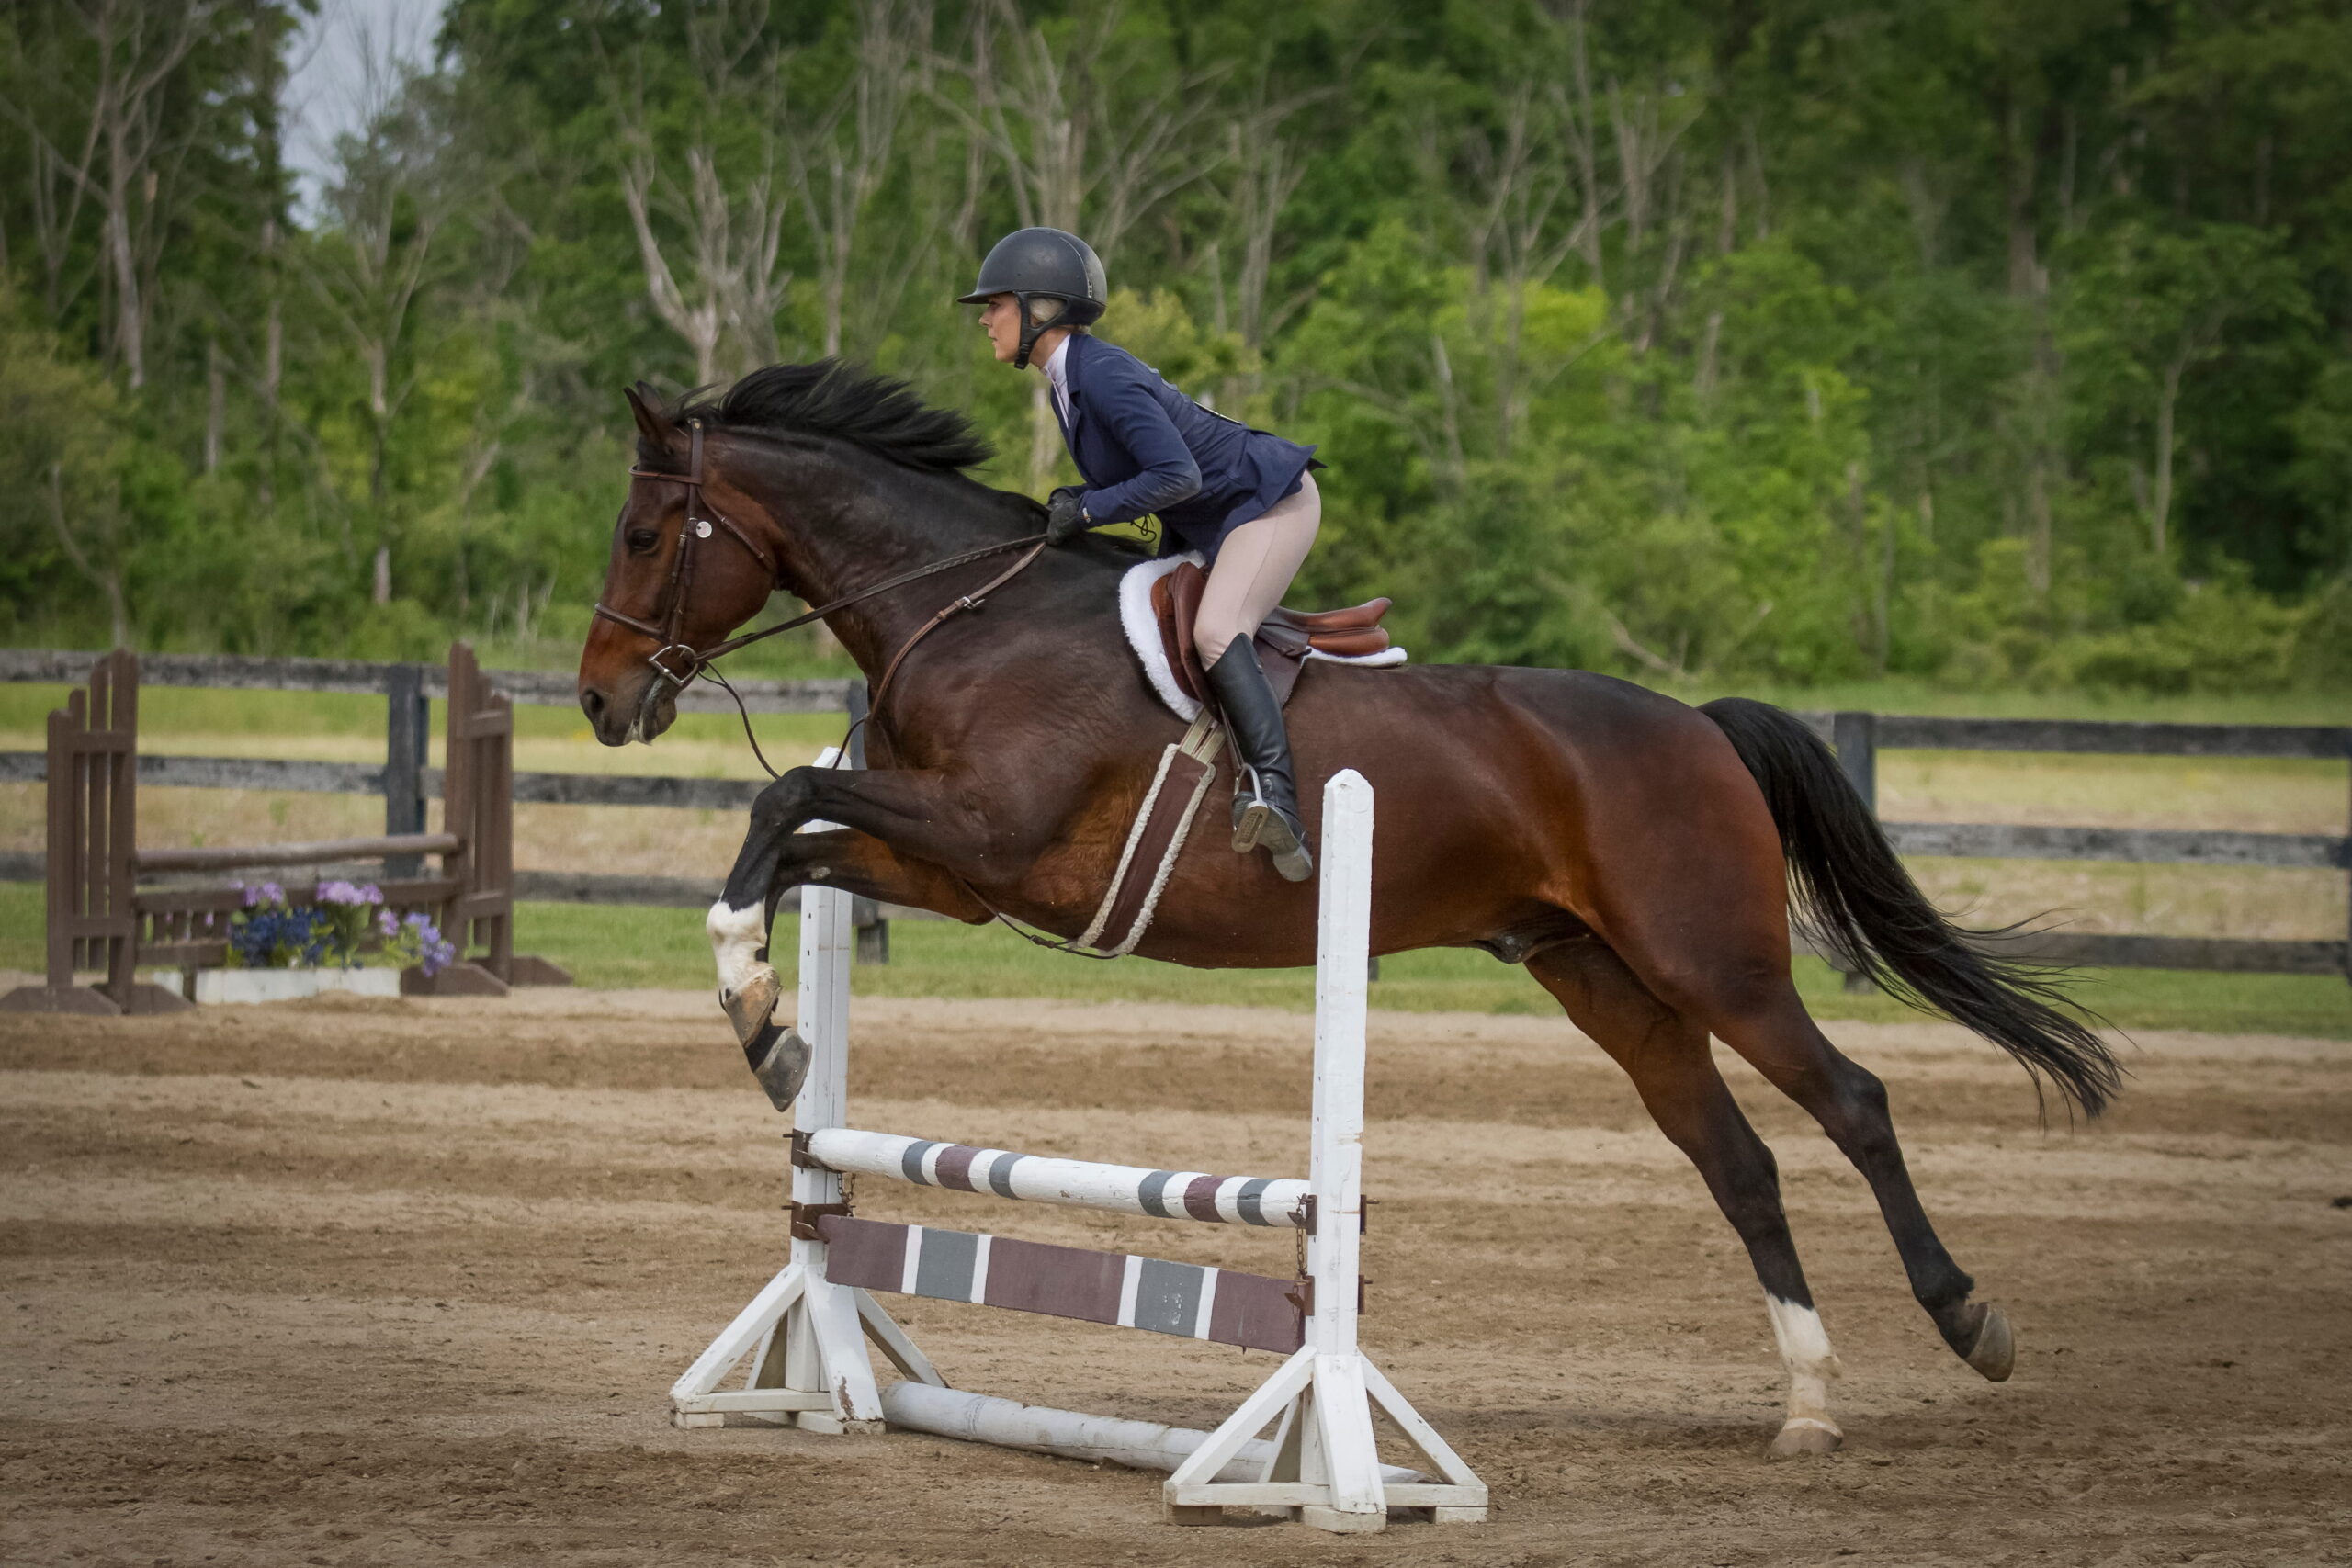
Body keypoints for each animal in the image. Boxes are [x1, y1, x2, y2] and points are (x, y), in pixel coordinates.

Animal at [576, 360, 2121, 1459]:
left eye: (646, 530)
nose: (600, 701)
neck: (969, 613)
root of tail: (1700, 724)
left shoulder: (987, 839)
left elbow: (782, 805)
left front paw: (755, 1003)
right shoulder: (952, 872)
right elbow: (791, 845)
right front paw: (768, 1023)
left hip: (1710, 960)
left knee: (1851, 1098)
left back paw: (1969, 1319)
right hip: (1602, 977)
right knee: (1735, 1158)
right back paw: (1805, 1399)